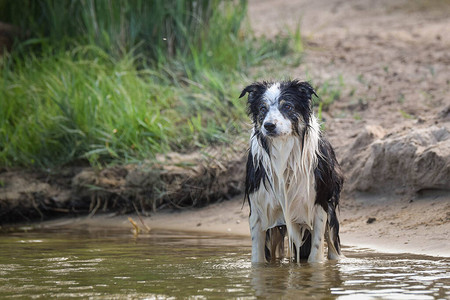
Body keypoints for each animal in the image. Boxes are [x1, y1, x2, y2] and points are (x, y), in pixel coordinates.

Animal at [241, 79, 342, 262]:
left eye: (287, 106)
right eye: (262, 108)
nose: (269, 125)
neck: (283, 150)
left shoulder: (319, 205)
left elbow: (315, 255)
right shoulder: (259, 211)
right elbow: (258, 258)